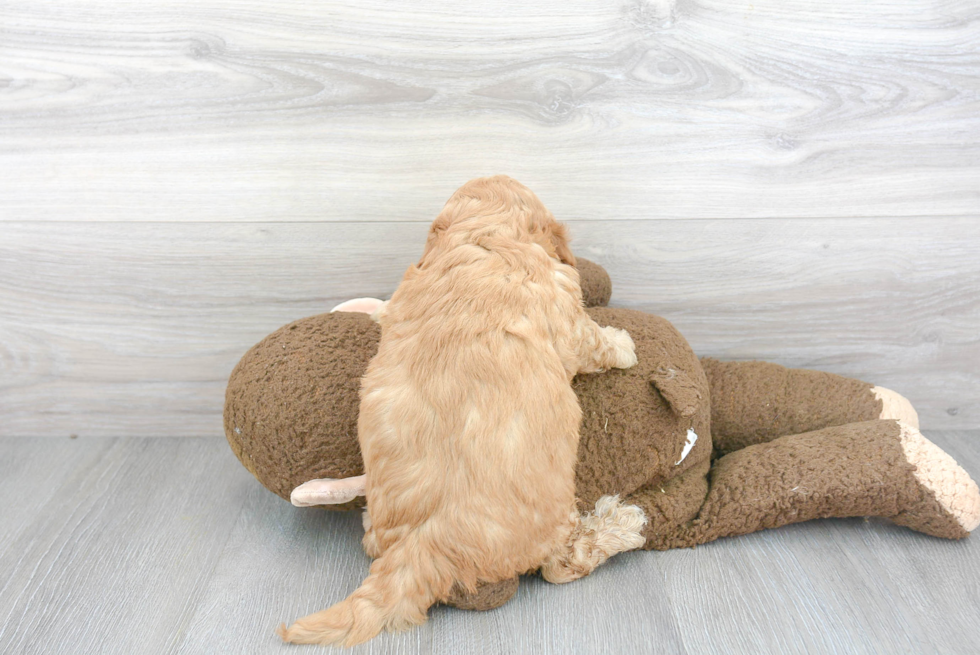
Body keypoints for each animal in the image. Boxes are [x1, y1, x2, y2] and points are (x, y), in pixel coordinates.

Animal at [276, 177, 644, 648]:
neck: (482, 236)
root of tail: (422, 547)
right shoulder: (566, 315)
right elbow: (595, 342)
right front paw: (623, 345)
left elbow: (386, 310)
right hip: (554, 522)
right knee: (562, 565)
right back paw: (623, 524)